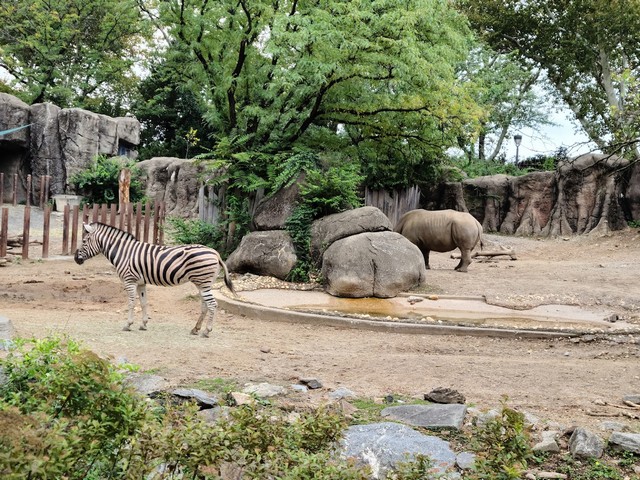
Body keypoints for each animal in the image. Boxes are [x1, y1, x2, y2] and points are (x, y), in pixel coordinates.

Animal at [75, 222, 235, 338]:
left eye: (84, 241)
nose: (76, 259)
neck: (124, 253)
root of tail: (215, 253)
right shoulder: (141, 282)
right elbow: (144, 302)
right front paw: (143, 324)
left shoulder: (129, 280)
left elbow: (131, 303)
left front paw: (128, 324)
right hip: (202, 284)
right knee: (205, 305)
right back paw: (195, 329)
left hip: (203, 282)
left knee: (212, 304)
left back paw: (207, 331)